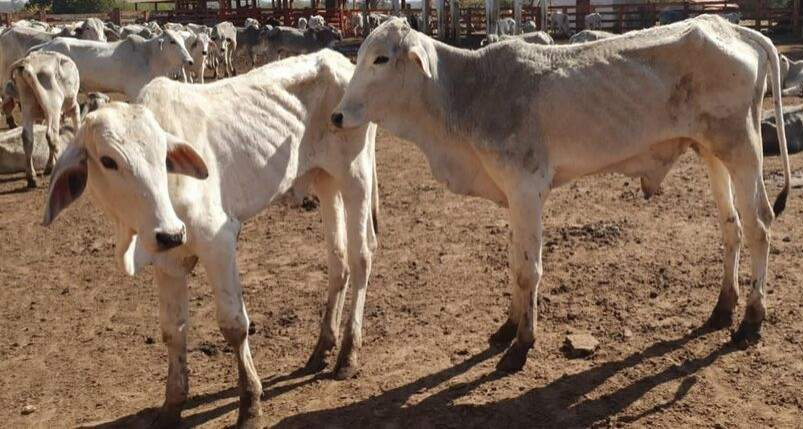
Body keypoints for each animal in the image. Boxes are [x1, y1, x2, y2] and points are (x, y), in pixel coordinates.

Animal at [2, 50, 80, 187]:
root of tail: (27, 63)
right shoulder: (73, 106)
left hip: (27, 105)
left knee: (27, 138)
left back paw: (31, 177)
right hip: (53, 107)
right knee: (52, 137)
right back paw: (51, 167)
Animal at [44, 51, 380, 428]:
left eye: (162, 155)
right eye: (108, 160)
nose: (171, 233)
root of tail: (338, 60)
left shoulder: (218, 241)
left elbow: (234, 324)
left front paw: (251, 403)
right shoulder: (166, 261)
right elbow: (173, 331)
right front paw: (171, 406)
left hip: (356, 177)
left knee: (361, 256)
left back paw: (348, 354)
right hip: (324, 181)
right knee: (338, 262)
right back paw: (322, 347)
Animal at [332, 15, 792, 372]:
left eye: (380, 58)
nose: (336, 116)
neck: (470, 92)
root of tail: (735, 29)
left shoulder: (527, 189)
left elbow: (528, 270)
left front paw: (522, 344)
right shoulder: (514, 196)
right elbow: (514, 262)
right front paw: (508, 327)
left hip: (742, 149)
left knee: (759, 226)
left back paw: (751, 319)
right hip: (712, 152)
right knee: (732, 227)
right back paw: (723, 308)